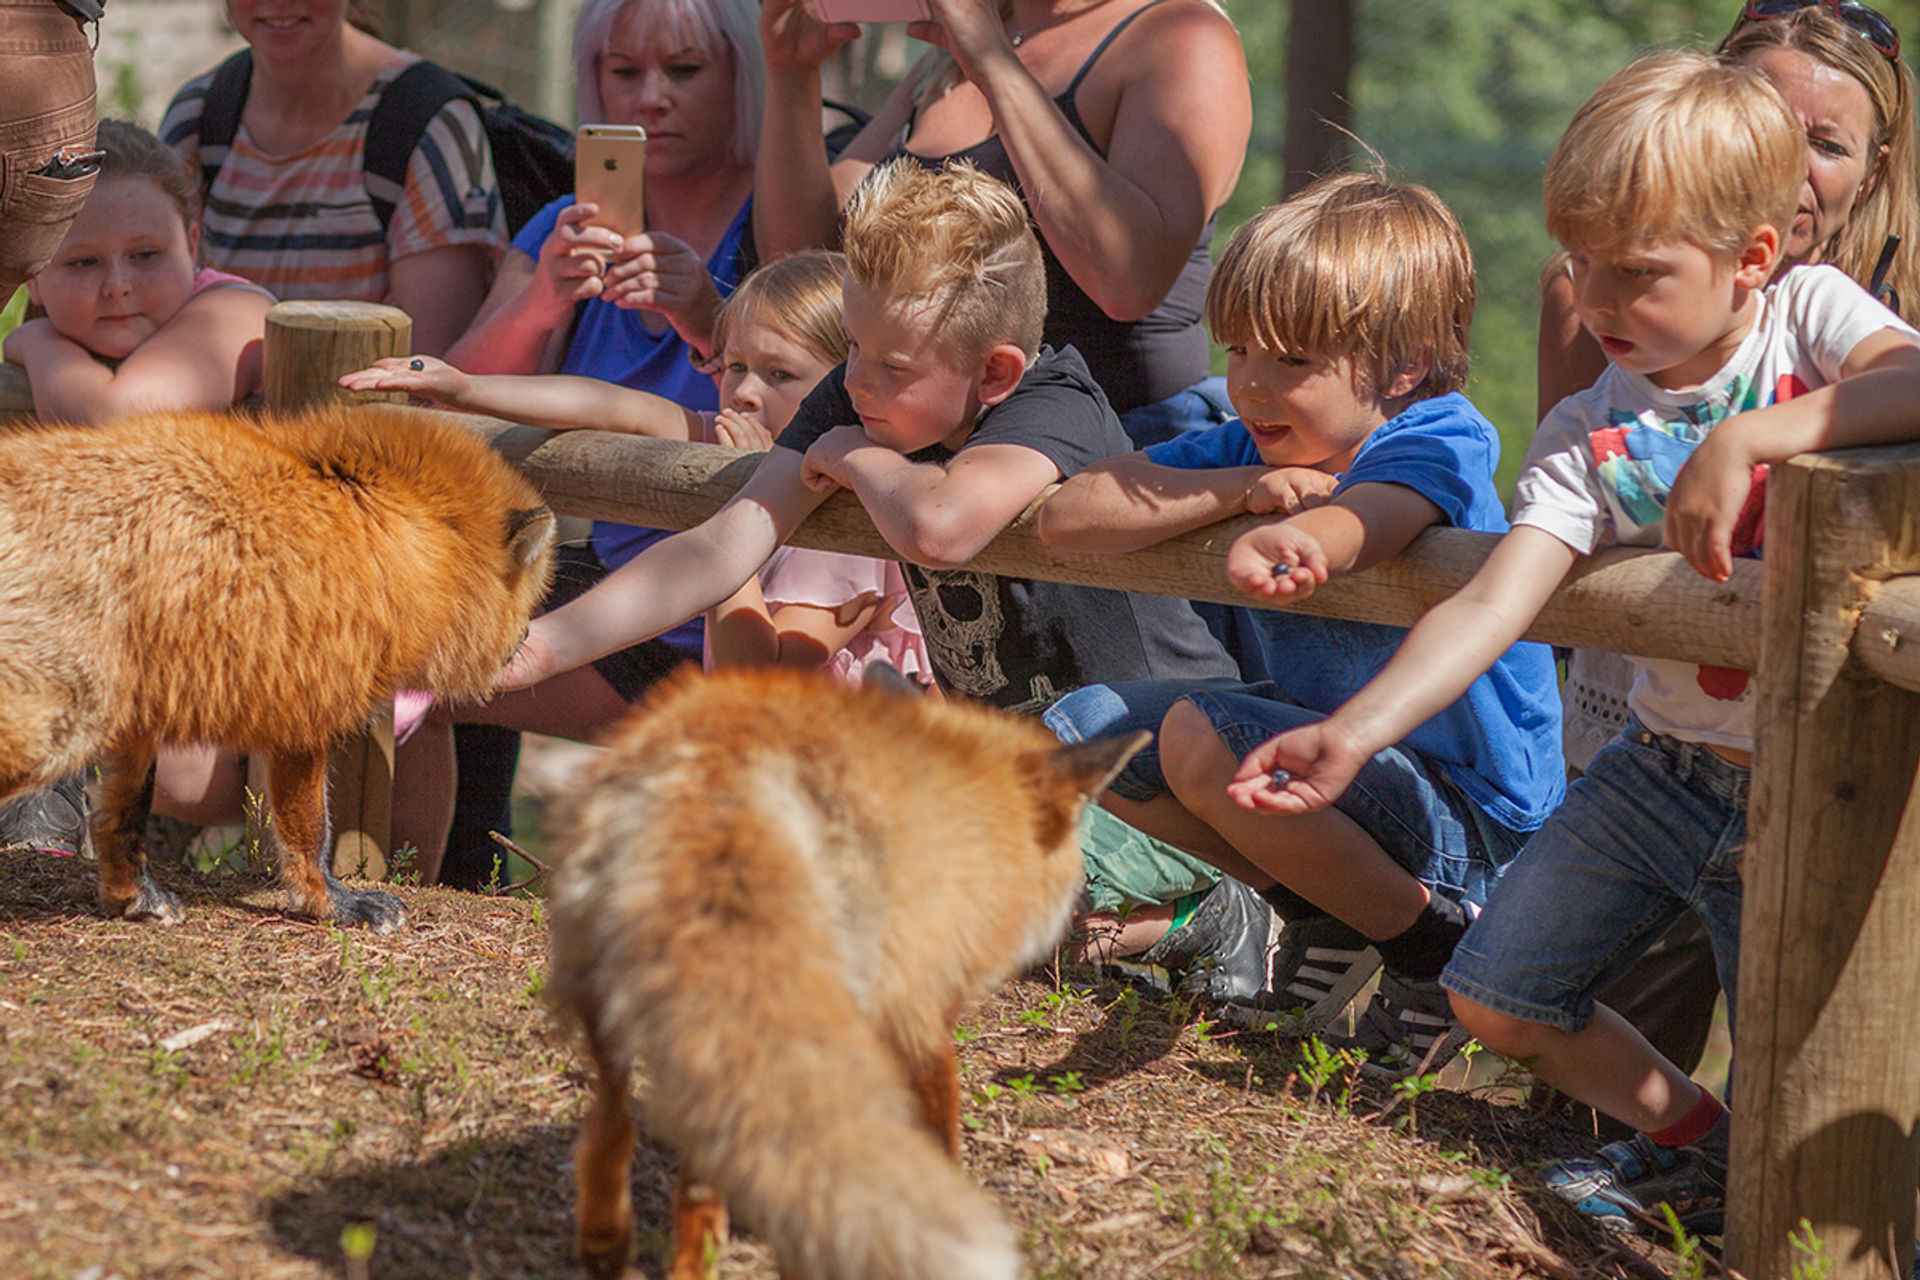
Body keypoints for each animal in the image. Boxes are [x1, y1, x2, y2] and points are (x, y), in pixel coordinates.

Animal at [0, 408, 556, 932]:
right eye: (530, 597)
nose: (527, 642)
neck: (376, 531)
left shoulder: (140, 715)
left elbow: (122, 817)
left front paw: (133, 900)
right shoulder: (306, 706)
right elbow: (312, 833)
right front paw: (333, 905)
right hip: (51, 730)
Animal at [541, 671, 1136, 1280]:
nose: (1087, 904)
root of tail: (717, 765)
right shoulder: (915, 994)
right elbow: (938, 1119)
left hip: (614, 997)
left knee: (617, 1129)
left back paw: (609, 1242)